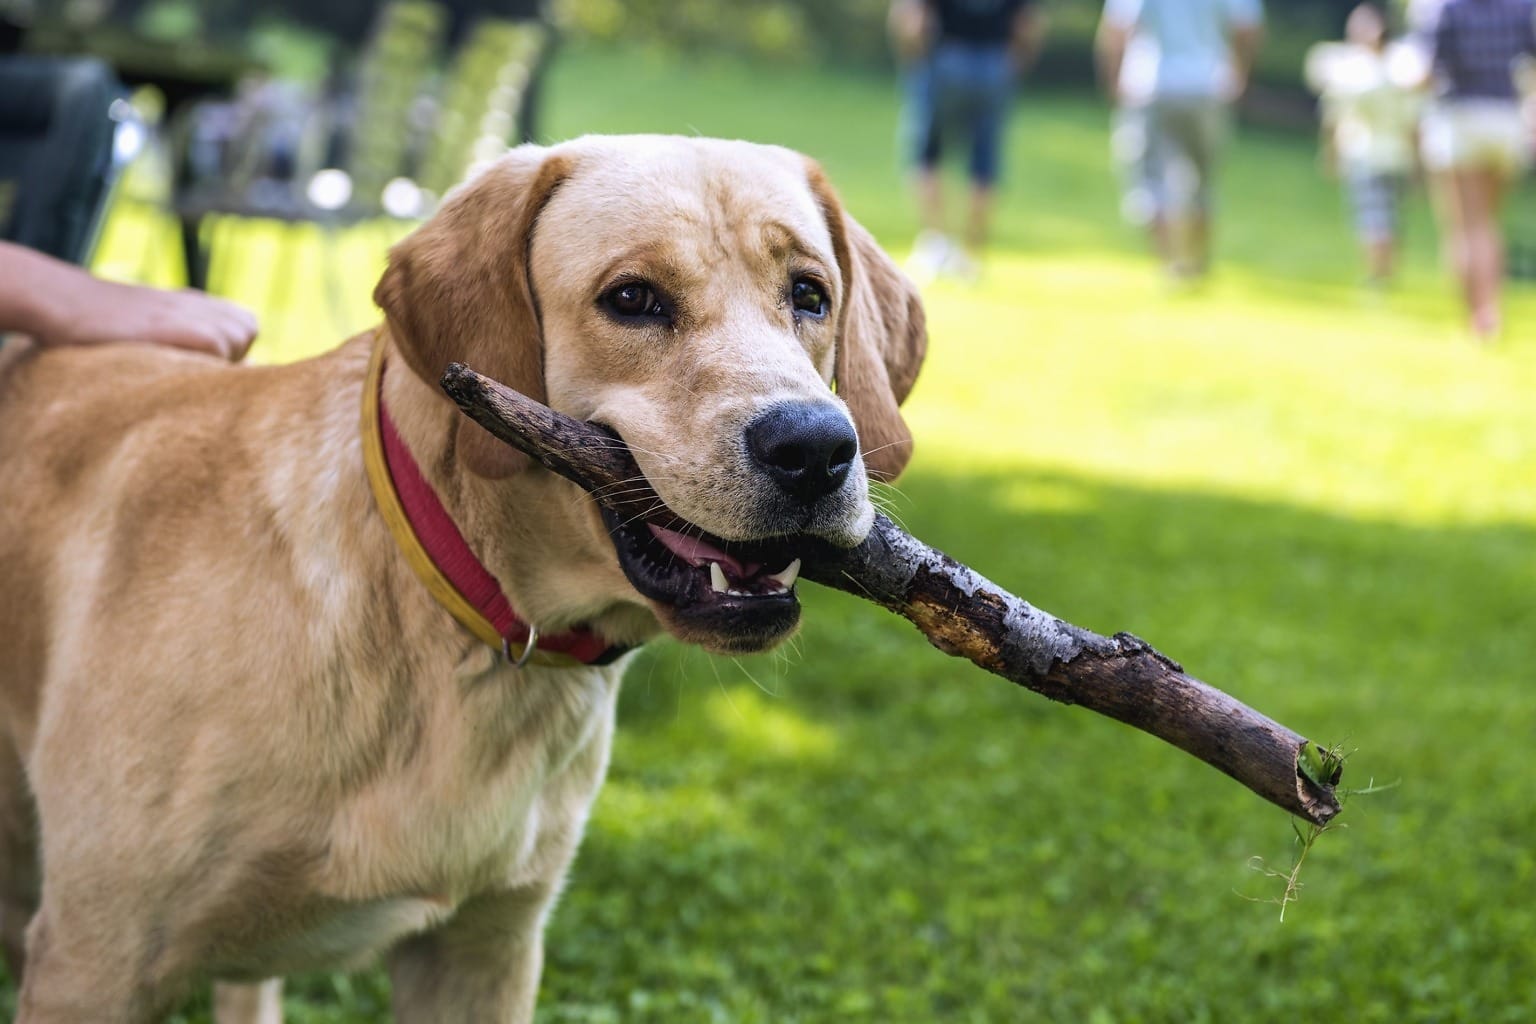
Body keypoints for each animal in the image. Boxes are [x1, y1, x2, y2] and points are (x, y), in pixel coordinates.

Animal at [0, 134, 921, 1019]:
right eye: (632, 299)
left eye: (810, 294)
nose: (816, 448)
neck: (453, 620)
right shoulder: (94, 963)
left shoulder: (486, 950)